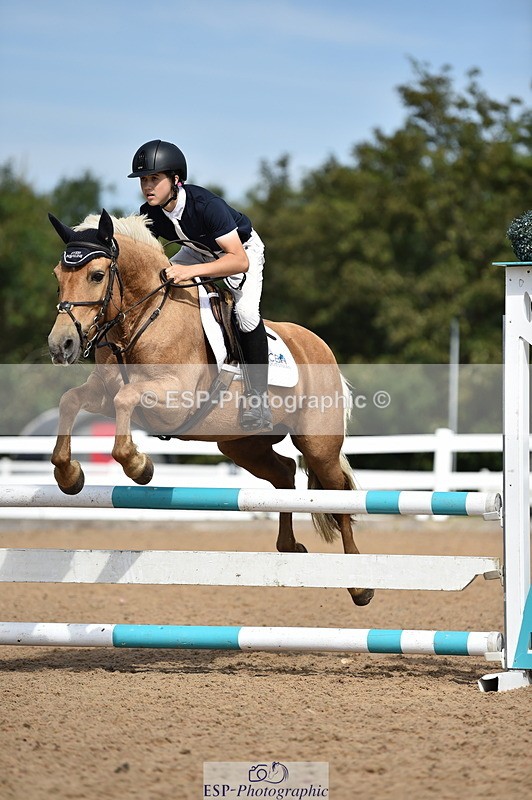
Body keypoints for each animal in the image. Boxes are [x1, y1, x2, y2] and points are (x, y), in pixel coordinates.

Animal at [47, 209, 374, 606]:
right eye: (58, 276)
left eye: (96, 275)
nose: (61, 345)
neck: (142, 318)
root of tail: (319, 346)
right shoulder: (104, 393)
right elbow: (71, 400)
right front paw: (69, 476)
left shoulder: (173, 398)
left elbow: (127, 401)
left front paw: (140, 467)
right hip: (241, 444)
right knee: (284, 473)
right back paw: (289, 546)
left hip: (318, 444)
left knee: (338, 495)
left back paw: (359, 584)